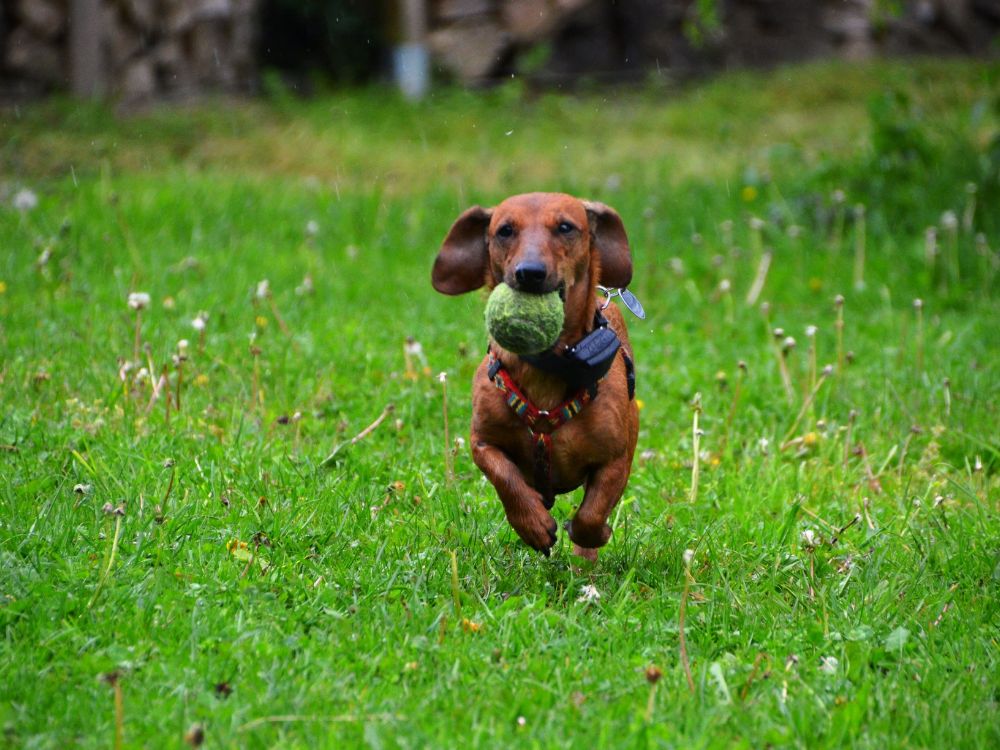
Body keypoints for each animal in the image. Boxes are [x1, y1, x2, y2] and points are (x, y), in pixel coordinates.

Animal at [432, 194, 640, 564]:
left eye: (565, 227)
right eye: (504, 230)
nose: (529, 273)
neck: (548, 366)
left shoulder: (617, 459)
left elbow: (591, 515)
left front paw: (594, 534)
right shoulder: (482, 442)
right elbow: (506, 479)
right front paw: (532, 524)